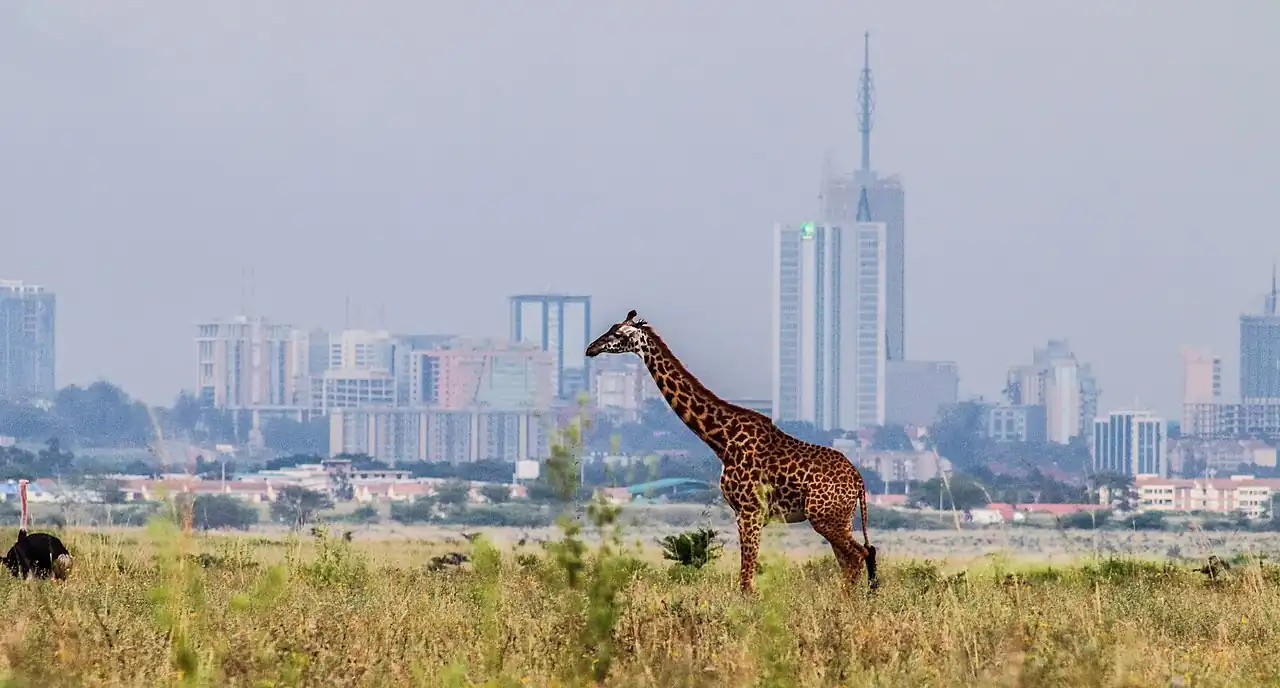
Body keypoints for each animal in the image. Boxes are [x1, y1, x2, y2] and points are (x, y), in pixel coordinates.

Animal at [585, 310, 878, 594]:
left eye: (618, 333)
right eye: (611, 328)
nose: (591, 348)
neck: (722, 441)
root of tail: (858, 481)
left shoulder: (750, 511)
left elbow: (746, 582)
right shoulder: (744, 512)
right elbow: (747, 579)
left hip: (825, 518)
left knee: (858, 556)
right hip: (838, 519)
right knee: (856, 558)